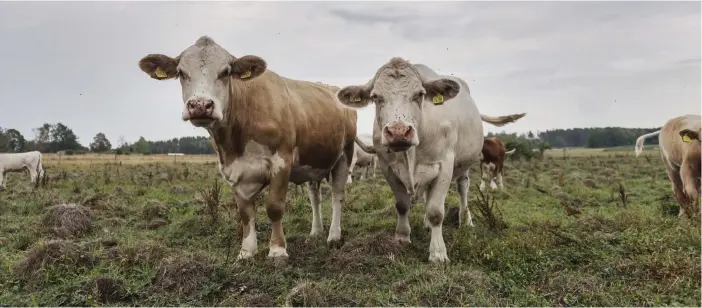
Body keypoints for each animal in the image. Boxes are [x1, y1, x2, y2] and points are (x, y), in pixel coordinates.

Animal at [138, 36, 358, 262]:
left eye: (225, 72)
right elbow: (245, 213)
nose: (200, 105)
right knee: (315, 196)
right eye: (182, 73)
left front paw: (277, 251)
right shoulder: (233, 169)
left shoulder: (281, 161)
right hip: (313, 161)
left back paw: (333, 236)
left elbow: (274, 207)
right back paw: (316, 232)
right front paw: (247, 252)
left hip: (345, 154)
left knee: (337, 195)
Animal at [336, 57, 528, 262]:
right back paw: (427, 224)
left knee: (463, 188)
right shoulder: (387, 167)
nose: (398, 132)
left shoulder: (444, 166)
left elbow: (436, 211)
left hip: (466, 164)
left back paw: (465, 220)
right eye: (375, 97)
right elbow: (402, 205)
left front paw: (438, 253)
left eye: (419, 94)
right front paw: (402, 237)